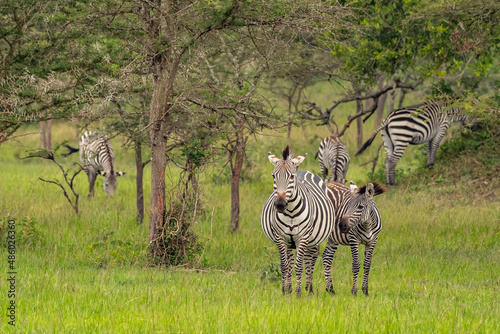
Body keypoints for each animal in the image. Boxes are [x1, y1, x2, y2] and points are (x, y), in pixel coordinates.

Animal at [262, 145, 336, 294]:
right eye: (273, 176)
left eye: (291, 176)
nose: (280, 204)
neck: (290, 211)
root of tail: (302, 170)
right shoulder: (280, 237)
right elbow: (285, 265)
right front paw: (285, 290)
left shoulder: (303, 236)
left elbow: (299, 266)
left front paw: (298, 292)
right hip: (290, 242)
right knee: (292, 261)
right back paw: (293, 288)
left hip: (313, 239)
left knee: (310, 261)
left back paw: (309, 289)